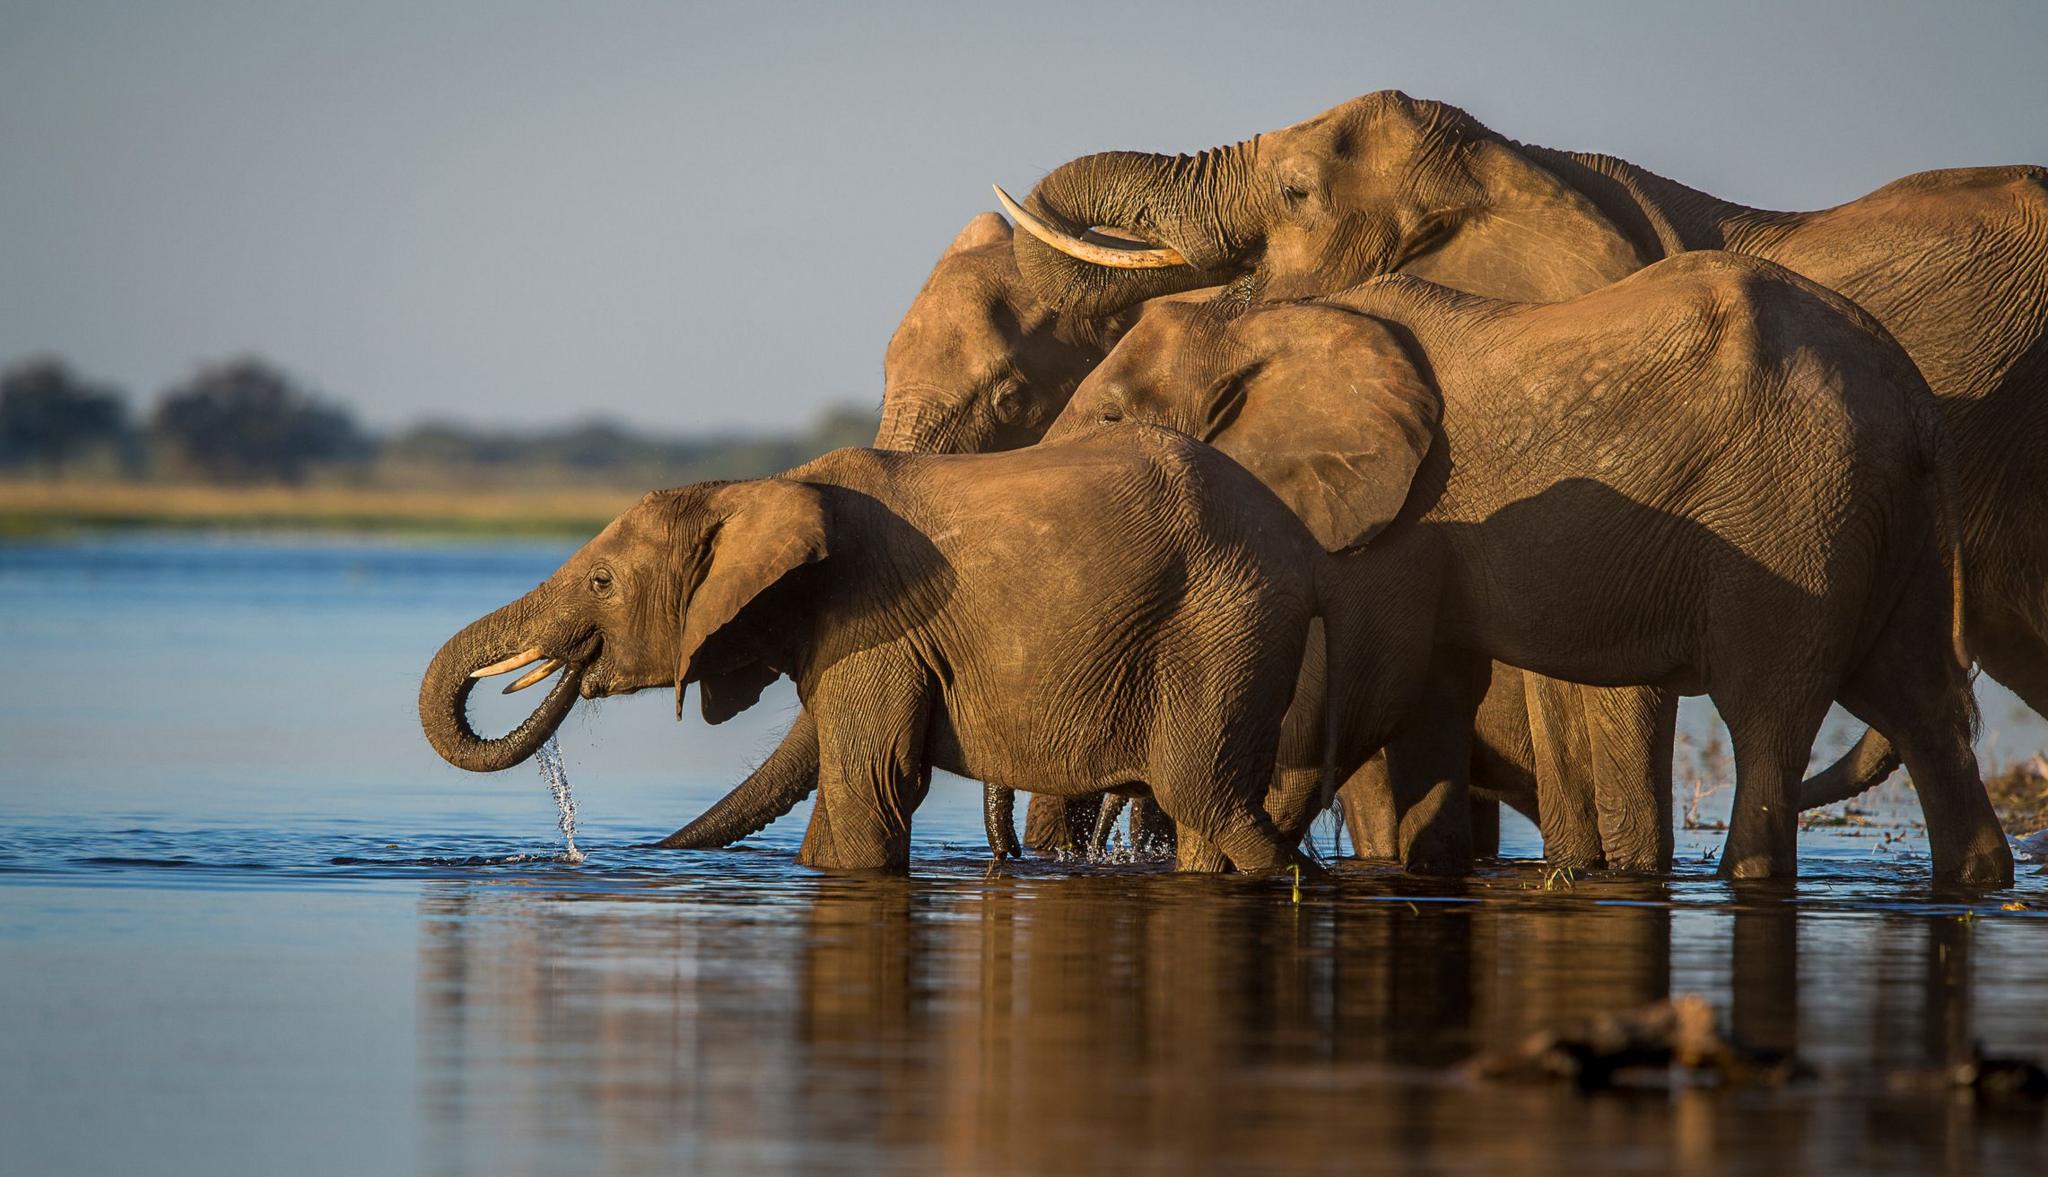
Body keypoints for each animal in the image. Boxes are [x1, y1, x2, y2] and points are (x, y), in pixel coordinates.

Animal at [421, 423, 1335, 876]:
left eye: (603, 581)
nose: (577, 853)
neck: (764, 487)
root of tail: (1308, 549)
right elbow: (840, 784)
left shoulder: (880, 623)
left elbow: (870, 781)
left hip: (1221, 627)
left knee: (1208, 797)